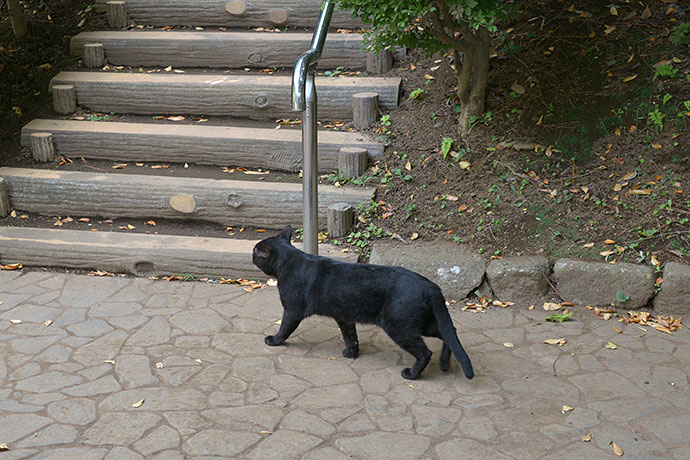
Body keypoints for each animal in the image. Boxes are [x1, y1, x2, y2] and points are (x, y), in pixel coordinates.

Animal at [253, 225, 472, 380]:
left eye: (256, 251)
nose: (252, 254)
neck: (289, 260)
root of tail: (431, 286)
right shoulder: (344, 316)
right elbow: (351, 336)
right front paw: (351, 353)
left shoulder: (292, 310)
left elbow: (284, 328)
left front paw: (274, 340)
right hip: (418, 323)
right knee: (448, 332)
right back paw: (444, 364)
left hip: (398, 325)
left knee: (426, 352)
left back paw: (412, 374)